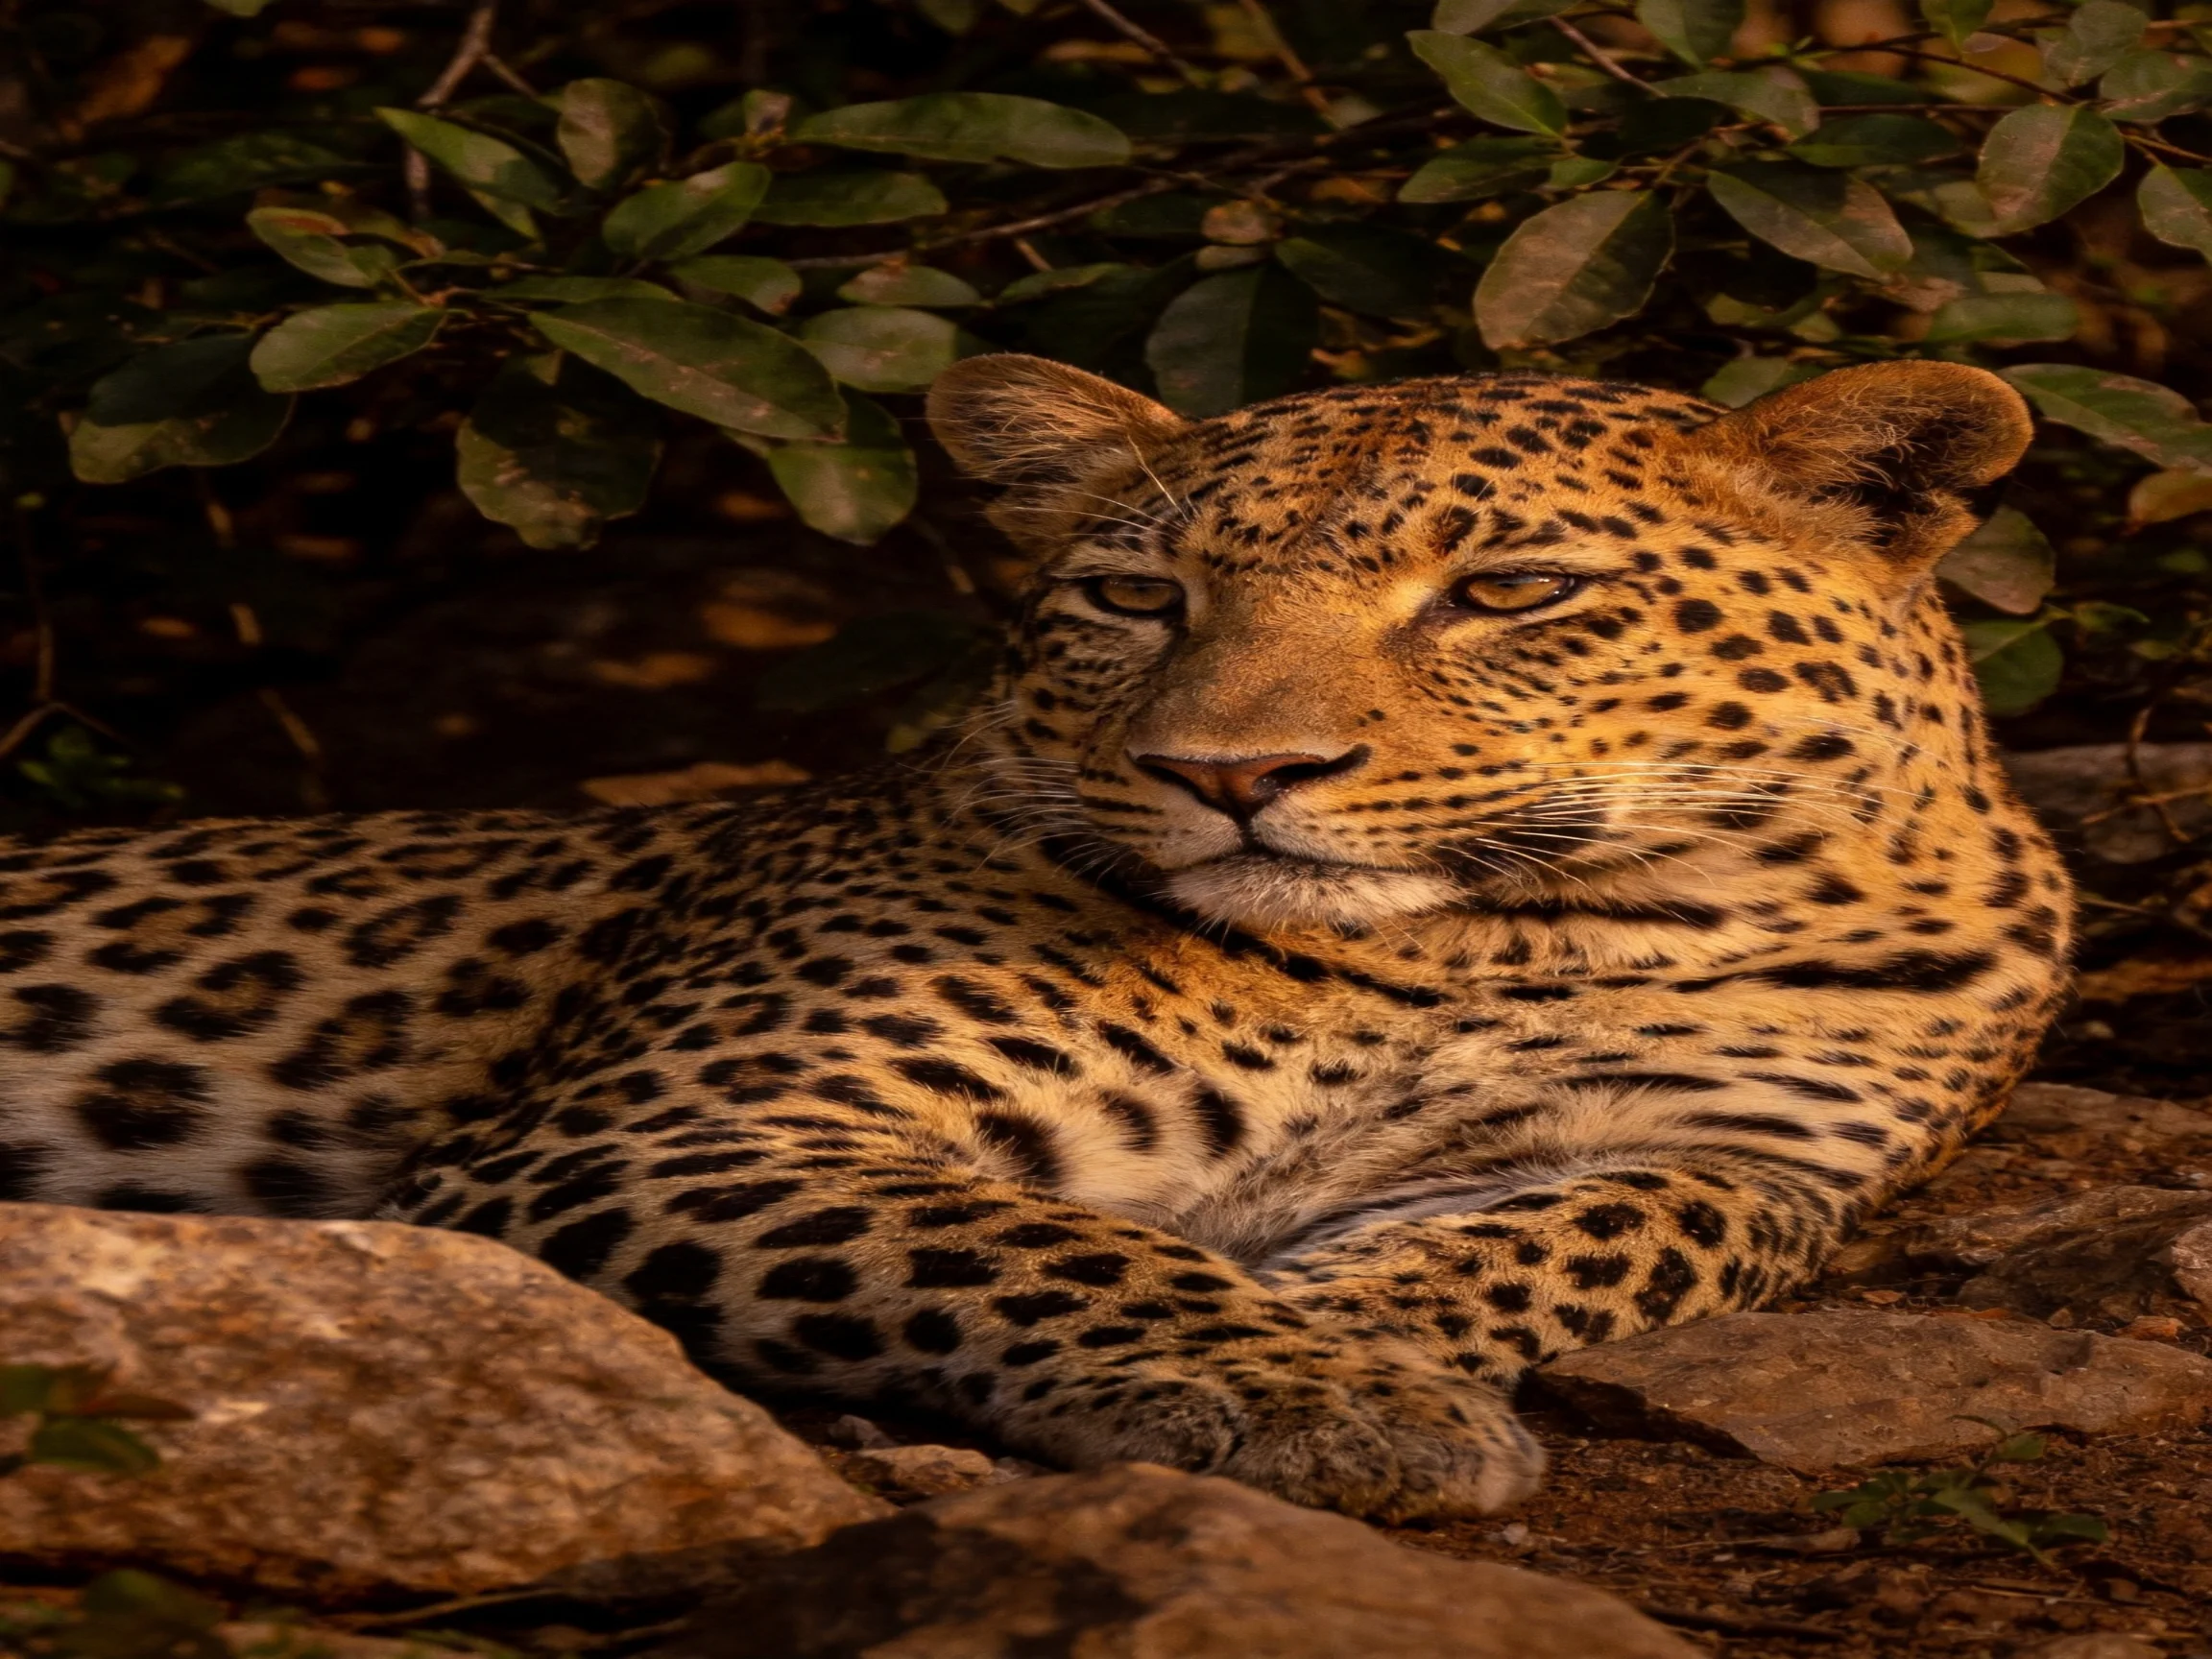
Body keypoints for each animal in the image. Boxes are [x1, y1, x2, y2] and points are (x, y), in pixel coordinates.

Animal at [0, 353, 2072, 1523]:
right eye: (1137, 597)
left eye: (1509, 592)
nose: (1231, 773)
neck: (1478, 946)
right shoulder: (678, 1116)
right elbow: (1029, 1235)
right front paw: (1312, 1391)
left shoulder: (1753, 1162)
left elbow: (1583, 1237)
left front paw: (1351, 1339)